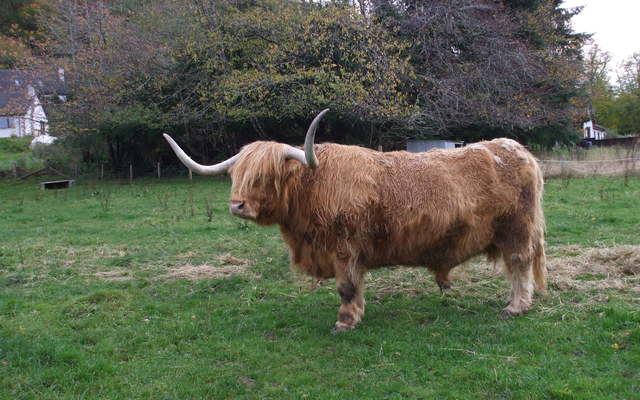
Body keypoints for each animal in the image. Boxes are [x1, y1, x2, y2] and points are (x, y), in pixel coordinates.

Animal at [164, 109, 544, 332]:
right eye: (237, 175)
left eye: (266, 176)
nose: (237, 205)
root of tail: (514, 148)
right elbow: (356, 286)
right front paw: (357, 313)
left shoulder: (344, 248)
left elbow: (346, 286)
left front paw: (344, 322)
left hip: (516, 229)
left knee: (519, 263)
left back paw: (516, 307)